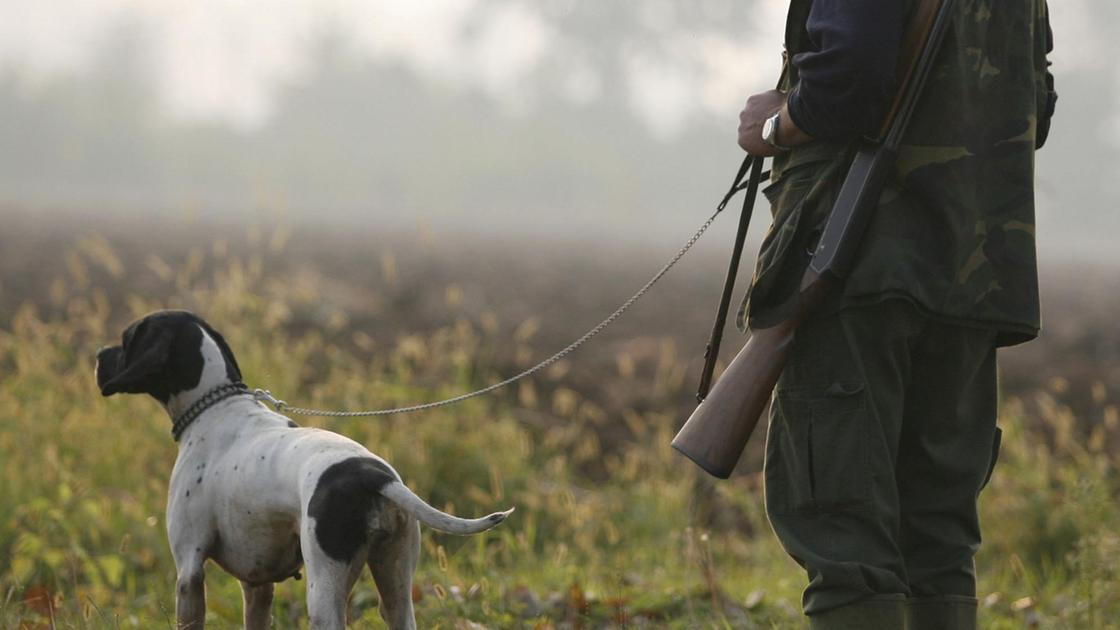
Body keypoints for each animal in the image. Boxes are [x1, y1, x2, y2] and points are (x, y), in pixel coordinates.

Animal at [95, 309, 512, 627]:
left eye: (127, 338)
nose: (98, 354)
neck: (214, 408)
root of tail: (374, 475)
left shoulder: (189, 572)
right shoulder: (258, 584)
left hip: (325, 592)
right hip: (395, 586)